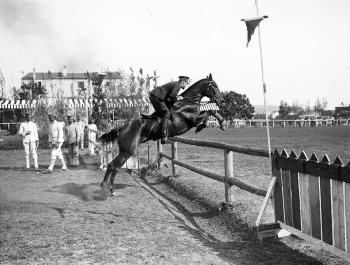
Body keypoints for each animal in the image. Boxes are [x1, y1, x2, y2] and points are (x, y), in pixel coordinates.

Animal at [98, 73, 226, 193]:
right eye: (214, 86)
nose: (222, 101)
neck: (187, 102)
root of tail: (122, 127)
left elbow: (212, 111)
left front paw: (222, 123)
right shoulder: (193, 120)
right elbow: (210, 111)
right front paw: (208, 125)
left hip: (124, 151)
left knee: (111, 165)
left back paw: (104, 185)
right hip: (127, 151)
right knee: (114, 166)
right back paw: (111, 189)